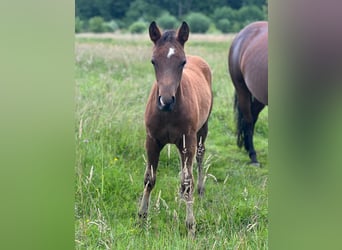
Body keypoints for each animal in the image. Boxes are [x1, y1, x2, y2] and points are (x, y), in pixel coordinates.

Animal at [138, 21, 212, 236]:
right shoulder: (152, 140)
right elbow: (149, 178)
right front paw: (142, 218)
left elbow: (188, 182)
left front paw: (190, 225)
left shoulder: (189, 139)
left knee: (199, 157)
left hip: (200, 131)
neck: (168, 114)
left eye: (182, 62)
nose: (166, 101)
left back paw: (200, 191)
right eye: (153, 61)